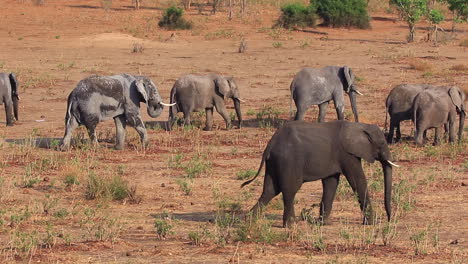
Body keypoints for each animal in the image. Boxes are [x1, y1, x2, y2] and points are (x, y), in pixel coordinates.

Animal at [241, 120, 398, 226]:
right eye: (382, 144)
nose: (389, 219)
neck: (359, 126)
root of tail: (270, 144)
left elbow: (331, 183)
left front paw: (322, 223)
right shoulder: (347, 154)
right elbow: (357, 180)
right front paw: (371, 223)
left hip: (274, 163)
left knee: (269, 190)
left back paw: (248, 220)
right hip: (289, 161)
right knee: (289, 190)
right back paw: (290, 225)